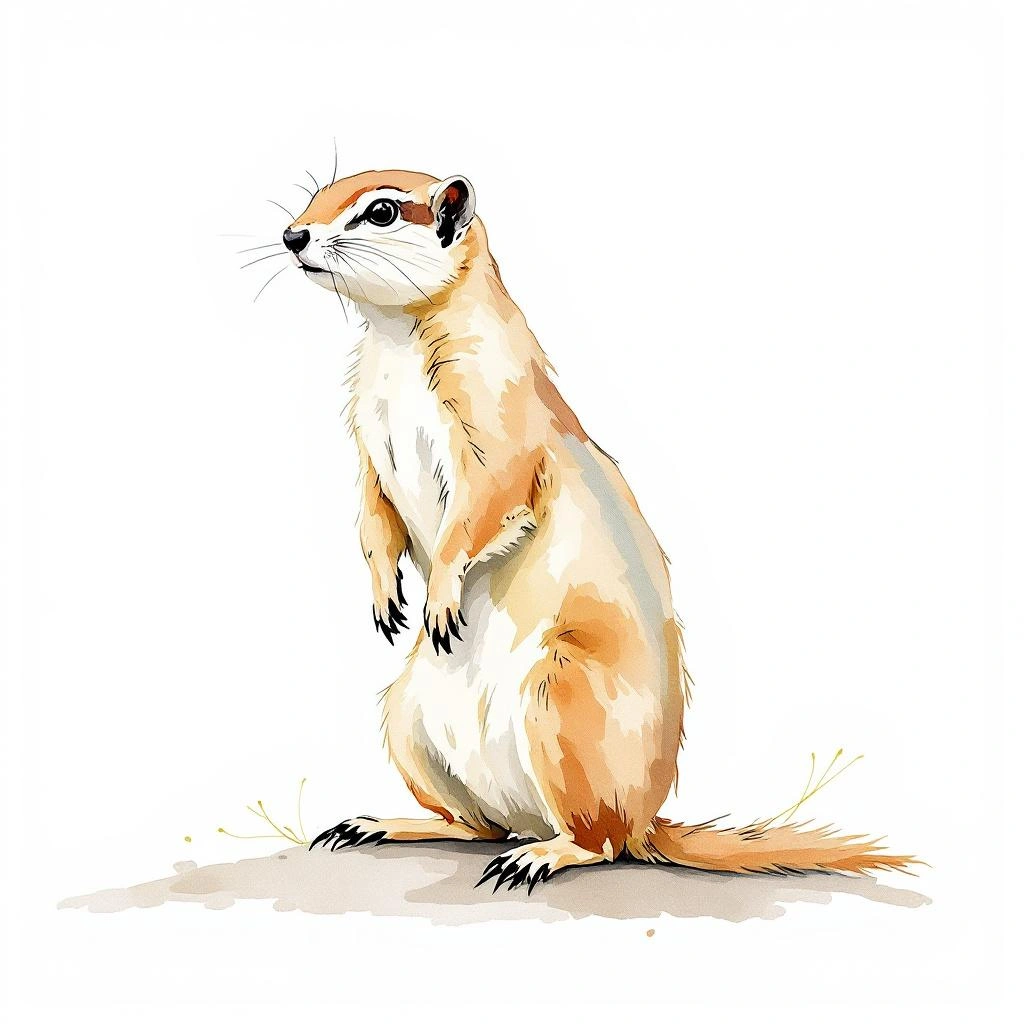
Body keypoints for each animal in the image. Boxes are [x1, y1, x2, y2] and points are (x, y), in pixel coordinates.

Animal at [282, 168, 916, 893]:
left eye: (381, 211)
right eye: (318, 193)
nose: (292, 236)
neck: (396, 340)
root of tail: (647, 818)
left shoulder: (497, 422)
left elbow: (482, 505)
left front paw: (438, 592)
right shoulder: (366, 436)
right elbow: (374, 514)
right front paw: (385, 594)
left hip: (557, 697)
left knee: (600, 841)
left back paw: (543, 854)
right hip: (405, 712)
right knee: (478, 825)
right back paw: (382, 824)